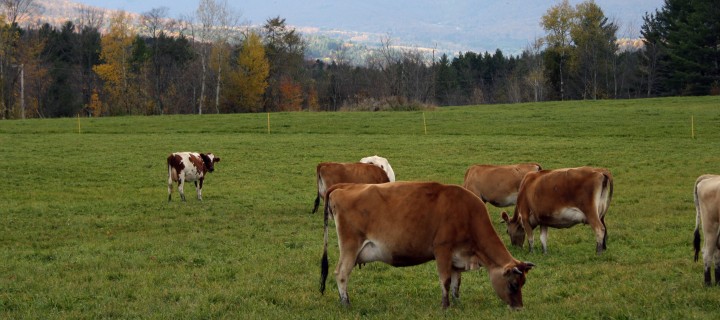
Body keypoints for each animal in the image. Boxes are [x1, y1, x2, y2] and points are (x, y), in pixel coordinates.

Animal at [320, 182, 536, 310]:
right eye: (513, 284)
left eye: (523, 283)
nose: (519, 308)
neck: (467, 213)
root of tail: (344, 186)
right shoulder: (442, 250)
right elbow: (445, 281)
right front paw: (445, 306)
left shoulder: (457, 257)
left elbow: (456, 282)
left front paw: (457, 302)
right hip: (350, 247)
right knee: (341, 273)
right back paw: (346, 303)